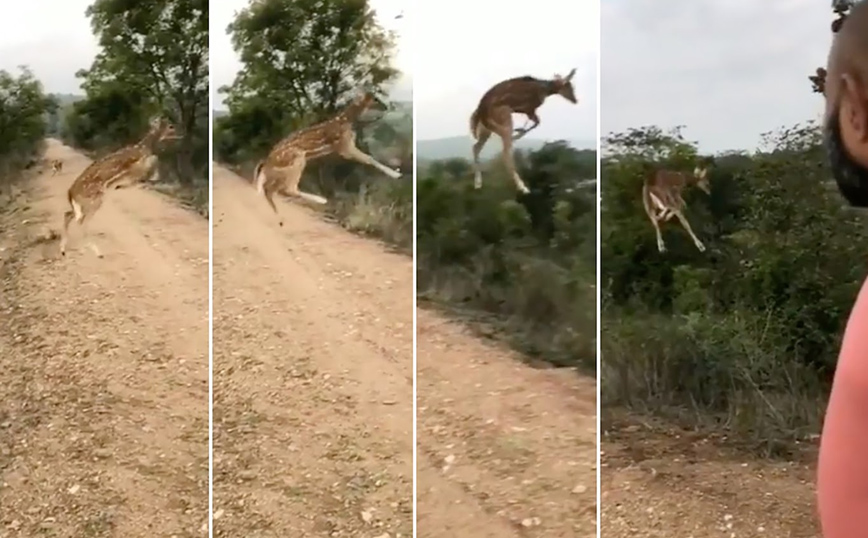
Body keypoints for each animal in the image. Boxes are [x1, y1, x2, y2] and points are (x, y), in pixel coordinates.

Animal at [59, 115, 178, 258]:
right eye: (170, 126)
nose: (178, 132)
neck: (143, 149)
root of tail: (70, 192)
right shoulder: (136, 172)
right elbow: (149, 170)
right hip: (94, 201)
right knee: (81, 221)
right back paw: (96, 252)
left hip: (83, 204)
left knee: (68, 215)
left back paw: (64, 250)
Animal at [251, 90, 400, 224]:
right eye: (375, 99)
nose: (386, 106)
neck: (347, 122)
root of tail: (267, 161)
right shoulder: (344, 147)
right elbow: (369, 158)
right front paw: (396, 174)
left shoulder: (346, 146)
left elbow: (369, 158)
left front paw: (396, 172)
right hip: (297, 160)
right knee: (288, 188)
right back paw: (322, 200)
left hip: (280, 172)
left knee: (270, 190)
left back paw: (281, 219)